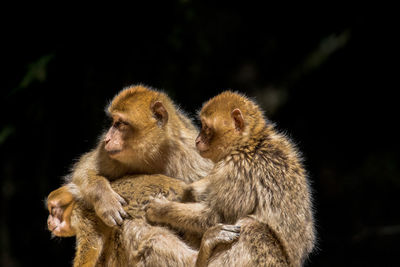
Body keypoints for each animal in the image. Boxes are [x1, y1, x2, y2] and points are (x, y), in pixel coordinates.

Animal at [48, 86, 239, 267]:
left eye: (121, 124)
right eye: (113, 123)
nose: (107, 138)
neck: (155, 154)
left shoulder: (195, 156)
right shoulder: (108, 153)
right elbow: (85, 168)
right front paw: (105, 201)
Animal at [145, 91, 316, 266]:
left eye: (206, 128)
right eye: (202, 127)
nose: (197, 140)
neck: (248, 142)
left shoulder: (236, 170)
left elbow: (215, 216)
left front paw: (162, 209)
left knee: (251, 228)